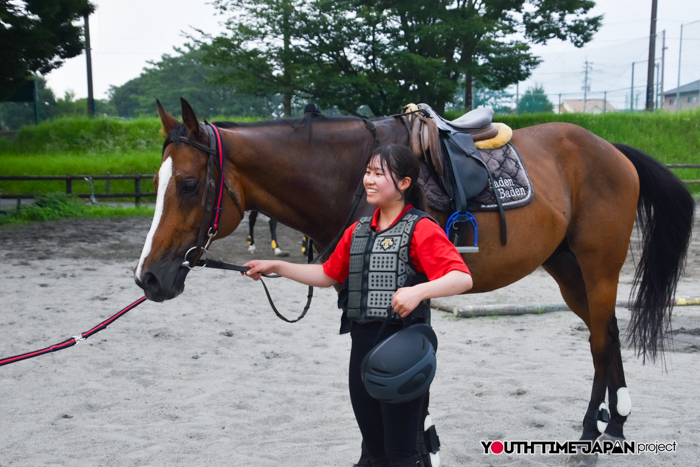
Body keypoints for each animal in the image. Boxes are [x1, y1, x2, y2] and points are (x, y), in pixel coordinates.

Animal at [134, 98, 694, 463]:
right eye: (157, 182)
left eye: (188, 184)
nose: (149, 278)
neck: (353, 177)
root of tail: (610, 149)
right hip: (567, 268)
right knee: (607, 332)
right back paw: (614, 422)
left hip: (598, 264)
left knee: (600, 337)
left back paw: (591, 432)